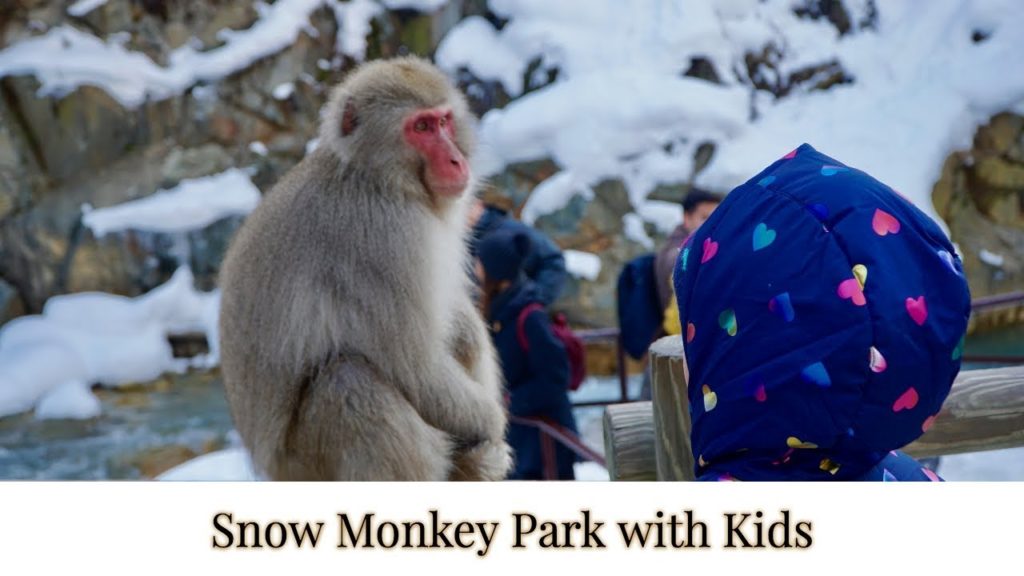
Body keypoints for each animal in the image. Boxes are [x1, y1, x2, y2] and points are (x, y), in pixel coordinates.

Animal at [217, 57, 511, 481]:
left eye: (443, 121)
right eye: (420, 128)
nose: (456, 161)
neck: (376, 178)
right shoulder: (383, 237)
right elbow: (417, 368)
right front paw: (492, 424)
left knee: (460, 330)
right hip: (303, 464)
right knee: (350, 384)